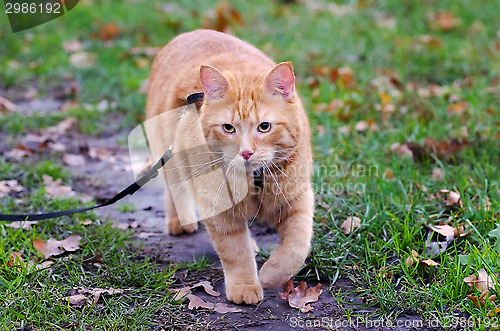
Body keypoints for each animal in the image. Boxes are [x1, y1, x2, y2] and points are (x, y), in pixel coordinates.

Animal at [145, 29, 314, 304]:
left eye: (264, 127)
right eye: (228, 128)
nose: (246, 152)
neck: (254, 179)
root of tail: (188, 33)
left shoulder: (297, 200)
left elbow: (296, 248)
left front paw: (270, 275)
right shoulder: (219, 211)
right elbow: (235, 252)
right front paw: (245, 286)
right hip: (169, 155)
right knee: (174, 189)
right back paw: (181, 222)